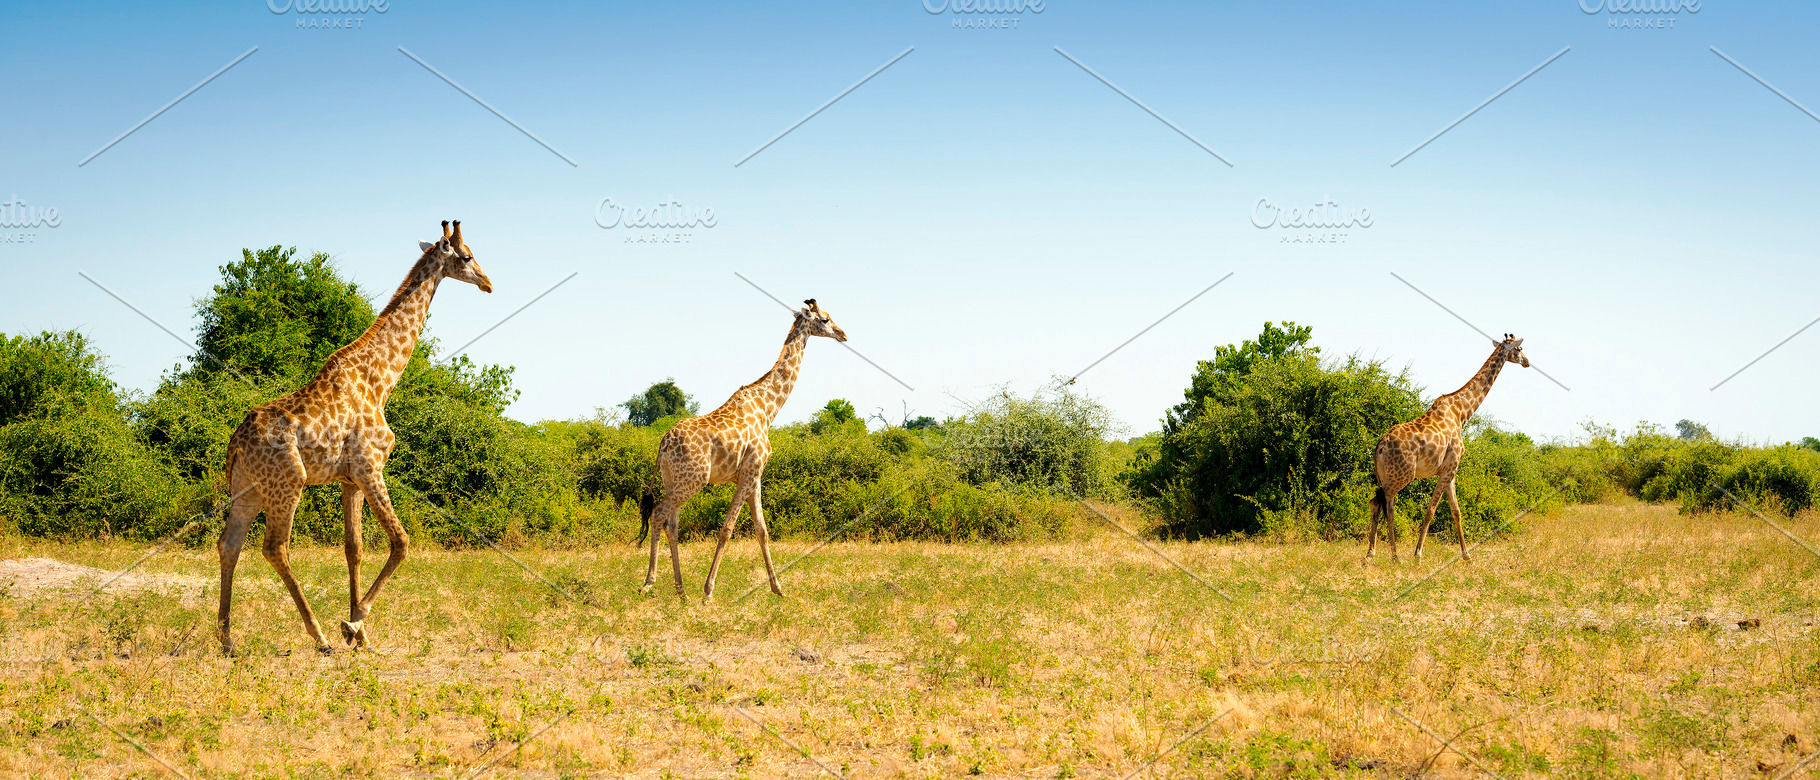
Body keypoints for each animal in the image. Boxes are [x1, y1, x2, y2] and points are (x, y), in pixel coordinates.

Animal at [216, 220, 492, 655]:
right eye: (466, 256)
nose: (488, 283)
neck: (380, 379)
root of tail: (236, 444)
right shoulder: (370, 466)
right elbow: (401, 542)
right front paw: (354, 622)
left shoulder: (349, 480)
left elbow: (354, 548)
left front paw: (360, 635)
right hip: (288, 483)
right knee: (275, 546)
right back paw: (319, 636)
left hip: (248, 489)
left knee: (229, 545)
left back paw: (227, 640)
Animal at [640, 299, 848, 598]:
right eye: (826, 319)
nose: (843, 334)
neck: (768, 409)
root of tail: (664, 442)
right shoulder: (750, 470)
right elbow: (728, 528)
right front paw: (708, 591)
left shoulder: (755, 474)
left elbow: (762, 529)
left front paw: (778, 589)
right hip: (693, 480)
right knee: (658, 514)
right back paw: (650, 582)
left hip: (673, 480)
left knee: (672, 523)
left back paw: (681, 590)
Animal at [1367, 334, 1529, 562]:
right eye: (1520, 349)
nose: (1527, 362)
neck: (1461, 413)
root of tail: (1379, 447)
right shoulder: (1449, 468)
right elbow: (1431, 510)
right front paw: (1418, 554)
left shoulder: (1451, 471)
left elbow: (1456, 511)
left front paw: (1467, 556)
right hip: (1401, 475)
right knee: (1387, 507)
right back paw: (1395, 556)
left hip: (1385, 476)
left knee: (1377, 503)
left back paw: (1371, 555)